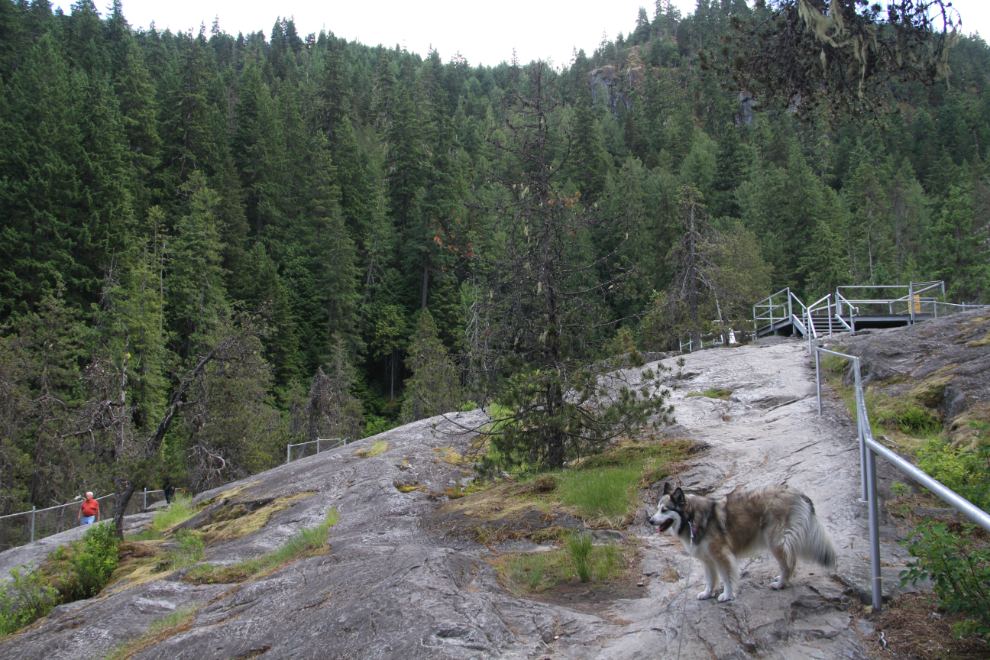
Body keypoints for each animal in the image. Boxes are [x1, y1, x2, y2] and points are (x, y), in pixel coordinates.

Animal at [652, 482, 836, 600]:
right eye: (657, 509)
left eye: (664, 510)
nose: (650, 520)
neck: (691, 518)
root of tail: (796, 493)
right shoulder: (707, 559)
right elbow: (710, 579)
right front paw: (708, 593)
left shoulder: (722, 555)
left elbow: (727, 577)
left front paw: (727, 595)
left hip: (775, 541)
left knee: (788, 564)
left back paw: (780, 584)